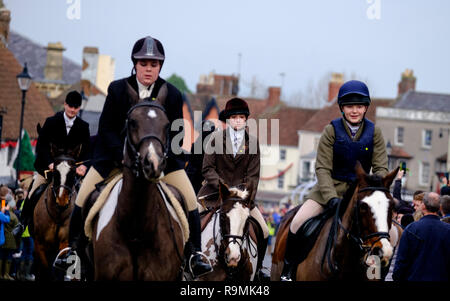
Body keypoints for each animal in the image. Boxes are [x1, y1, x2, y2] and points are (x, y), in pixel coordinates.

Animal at [32, 144, 80, 280]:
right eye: (55, 172)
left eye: (73, 172)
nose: (62, 200)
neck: (57, 214)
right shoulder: (40, 244)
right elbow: (45, 271)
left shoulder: (64, 243)